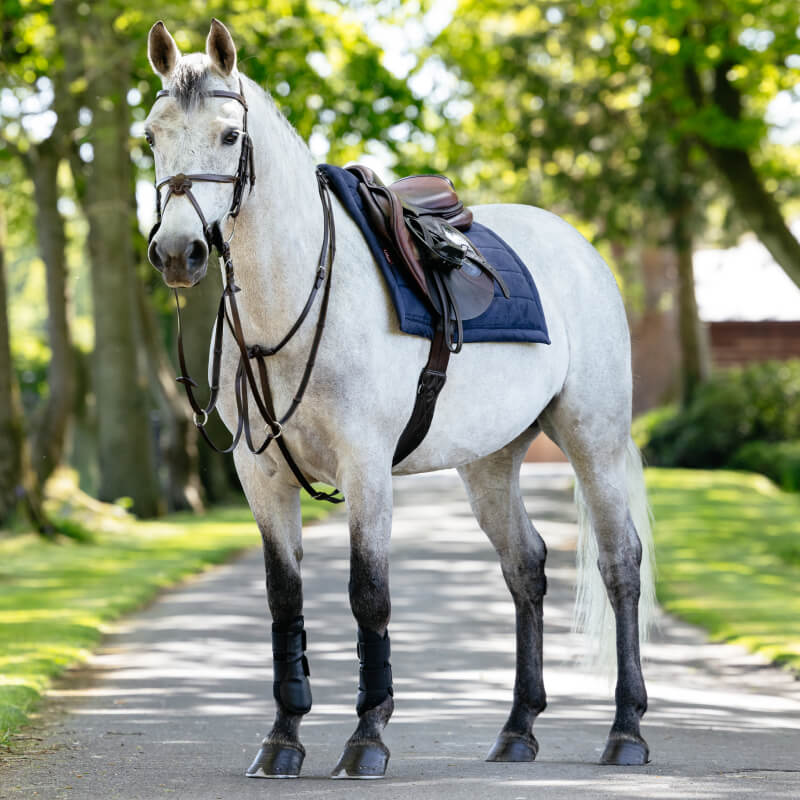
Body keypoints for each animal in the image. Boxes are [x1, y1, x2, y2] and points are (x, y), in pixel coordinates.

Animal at [144, 19, 656, 779]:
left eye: (230, 136)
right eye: (152, 135)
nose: (179, 253)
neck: (292, 300)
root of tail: (579, 249)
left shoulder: (366, 469)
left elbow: (369, 595)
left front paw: (367, 737)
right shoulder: (259, 476)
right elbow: (284, 599)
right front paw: (283, 739)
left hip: (593, 439)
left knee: (619, 563)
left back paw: (625, 730)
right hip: (490, 461)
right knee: (526, 567)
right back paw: (517, 729)